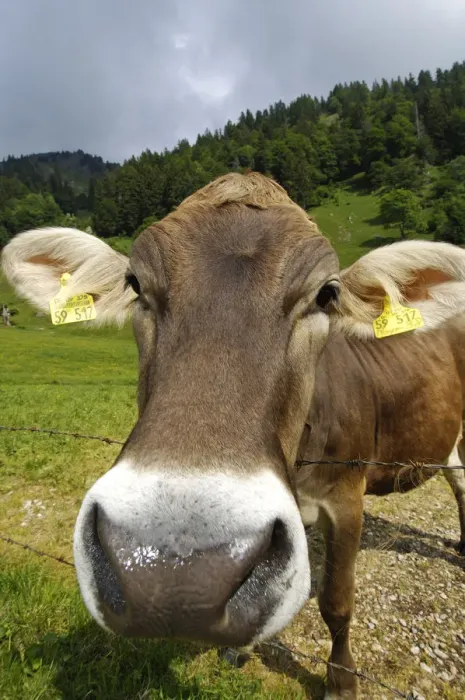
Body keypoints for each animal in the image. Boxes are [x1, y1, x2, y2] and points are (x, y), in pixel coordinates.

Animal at [2, 172, 465, 700]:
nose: (176, 575)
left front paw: (341, 680)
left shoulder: (347, 495)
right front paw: (239, 647)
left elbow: (336, 600)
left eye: (326, 294)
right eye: (135, 284)